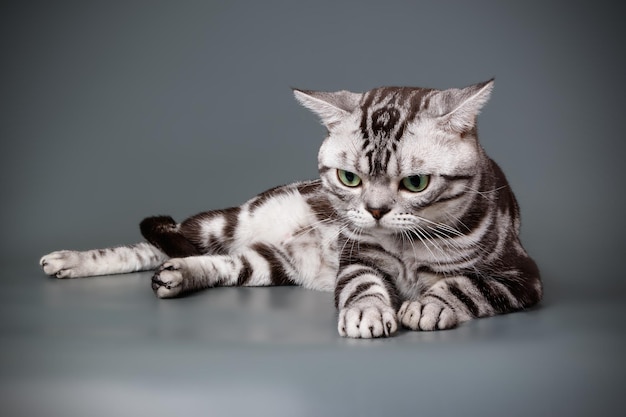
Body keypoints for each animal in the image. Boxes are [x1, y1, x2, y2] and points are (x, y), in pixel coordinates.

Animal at [39, 79, 540, 338]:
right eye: (350, 178)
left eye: (414, 183)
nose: (375, 211)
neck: (404, 249)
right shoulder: (357, 258)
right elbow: (362, 284)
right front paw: (367, 312)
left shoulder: (520, 275)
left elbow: (465, 286)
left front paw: (430, 304)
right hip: (226, 222)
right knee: (157, 242)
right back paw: (69, 260)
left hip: (267, 264)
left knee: (212, 261)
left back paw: (177, 275)